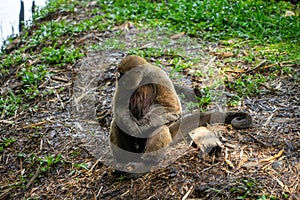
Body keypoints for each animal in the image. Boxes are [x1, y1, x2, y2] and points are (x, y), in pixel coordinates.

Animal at [109, 54, 252, 170]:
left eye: (122, 75)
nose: (117, 79)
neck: (143, 76)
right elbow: (120, 108)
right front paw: (134, 126)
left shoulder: (157, 74)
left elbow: (172, 108)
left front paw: (144, 124)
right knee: (118, 124)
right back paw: (124, 160)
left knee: (160, 128)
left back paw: (147, 162)